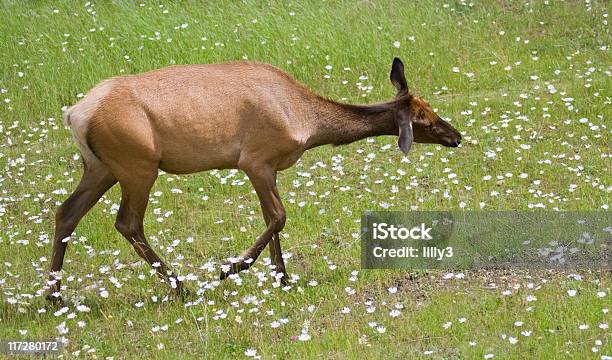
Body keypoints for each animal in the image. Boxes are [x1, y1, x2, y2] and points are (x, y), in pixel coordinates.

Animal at [45, 57, 462, 304]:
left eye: (429, 108)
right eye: (422, 119)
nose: (456, 136)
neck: (308, 122)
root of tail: (75, 114)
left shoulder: (267, 168)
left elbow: (271, 220)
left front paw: (283, 278)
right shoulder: (255, 160)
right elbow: (279, 216)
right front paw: (231, 268)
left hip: (100, 167)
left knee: (66, 212)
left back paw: (54, 296)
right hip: (138, 166)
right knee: (127, 222)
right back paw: (183, 287)